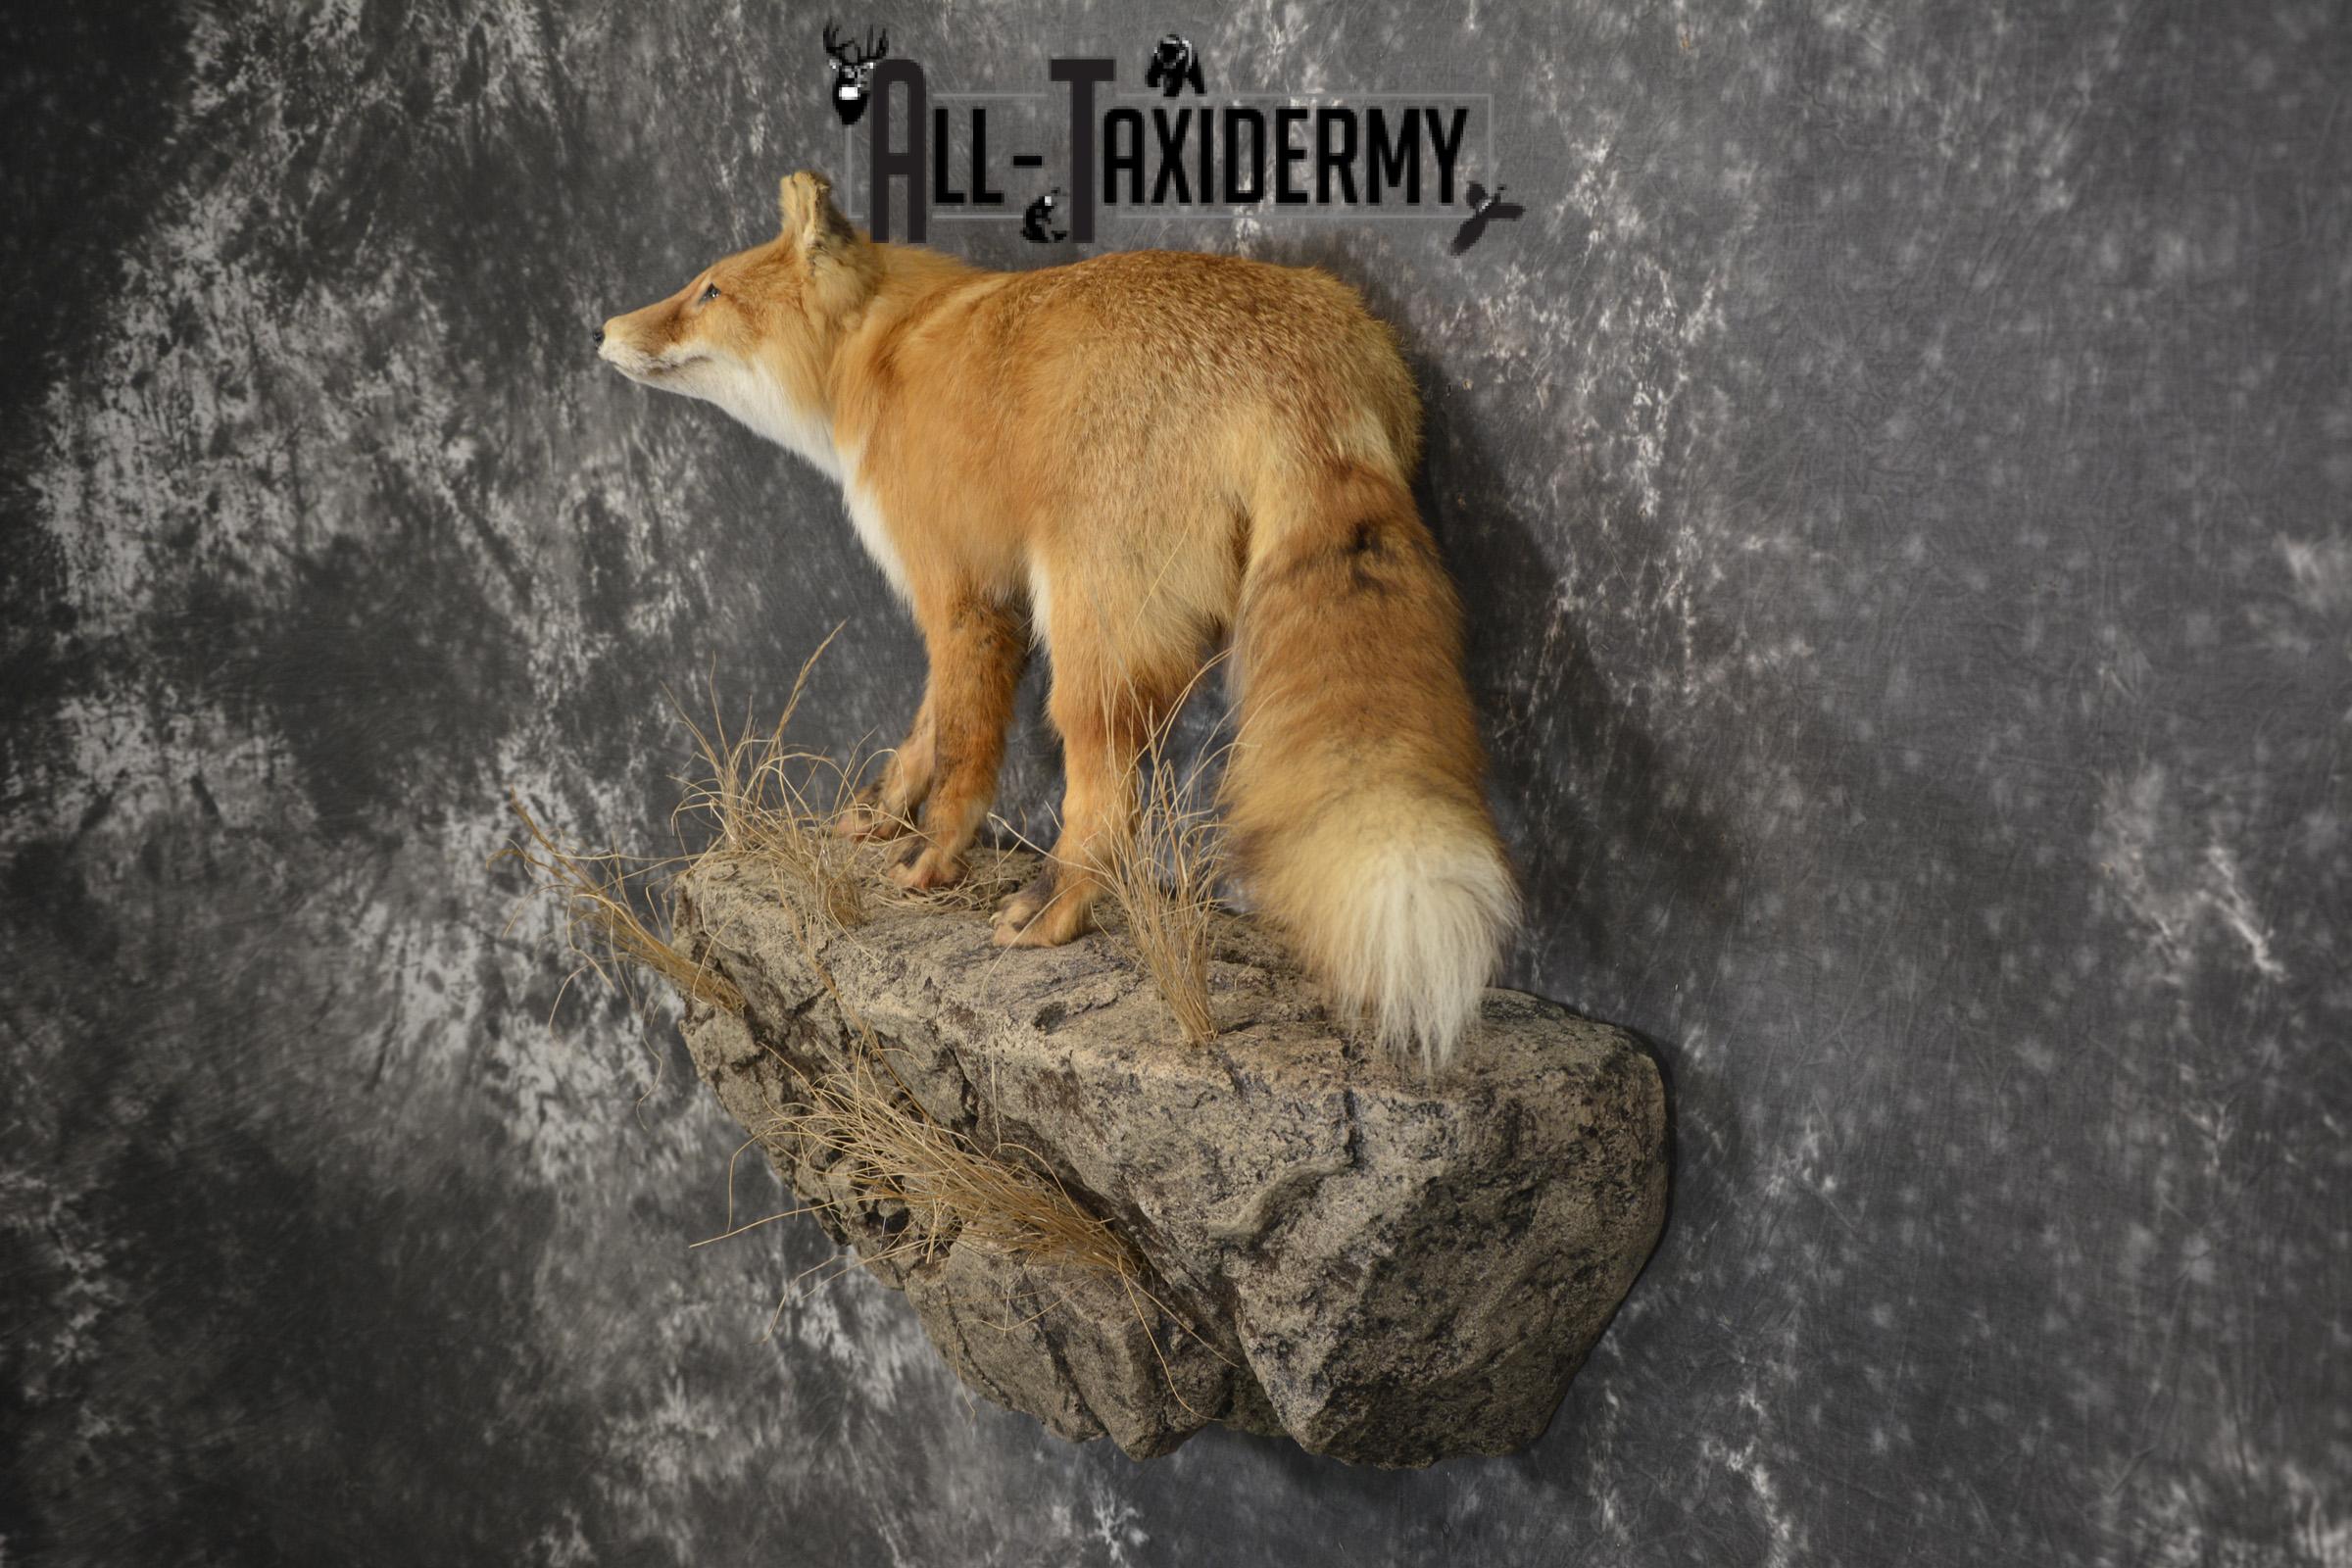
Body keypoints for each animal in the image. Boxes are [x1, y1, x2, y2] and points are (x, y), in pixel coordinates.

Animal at [598, 171, 1517, 1070]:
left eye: (709, 289)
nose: (603, 330)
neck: (884, 352)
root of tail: (1303, 372)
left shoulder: (962, 590)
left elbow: (963, 742)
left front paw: (932, 853)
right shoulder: (975, 601)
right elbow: (925, 728)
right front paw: (883, 810)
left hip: (1088, 630)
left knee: (1105, 785)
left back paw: (1056, 904)